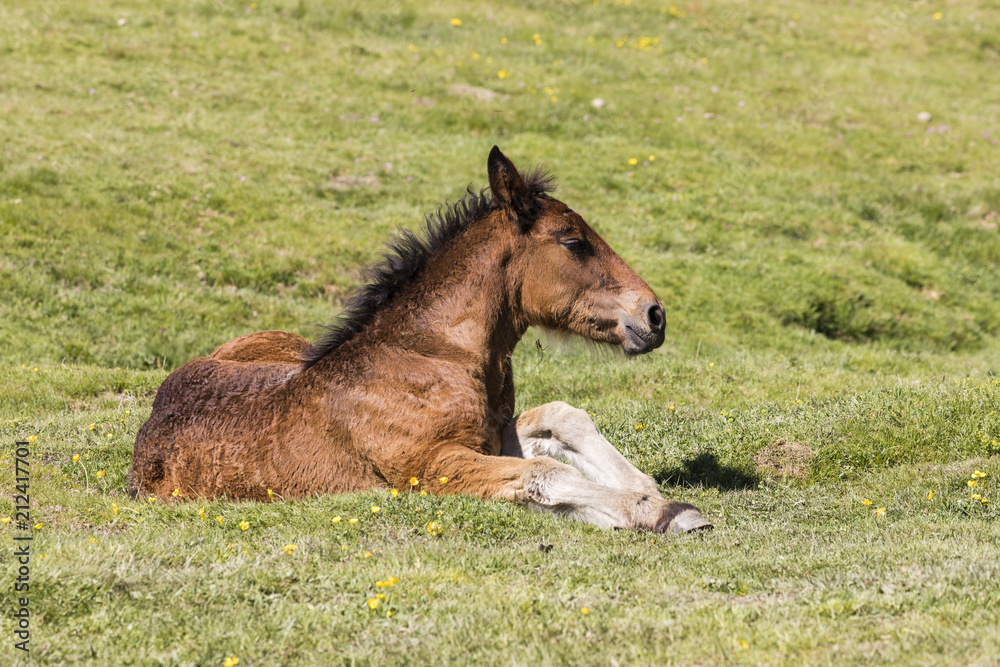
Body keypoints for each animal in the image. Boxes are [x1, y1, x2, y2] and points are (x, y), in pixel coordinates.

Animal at [131, 146, 712, 532]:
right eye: (573, 241)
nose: (654, 315)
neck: (432, 354)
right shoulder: (432, 468)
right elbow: (543, 475)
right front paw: (664, 511)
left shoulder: (490, 437)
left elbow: (559, 421)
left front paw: (643, 488)